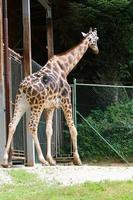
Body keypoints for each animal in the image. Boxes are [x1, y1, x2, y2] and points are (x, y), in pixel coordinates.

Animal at [2, 27, 98, 167]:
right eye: (97, 38)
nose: (97, 50)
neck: (65, 67)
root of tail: (23, 87)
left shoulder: (50, 107)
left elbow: (49, 131)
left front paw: (51, 159)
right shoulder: (66, 100)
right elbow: (73, 128)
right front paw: (77, 159)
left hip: (21, 102)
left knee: (12, 125)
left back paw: (5, 160)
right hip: (37, 104)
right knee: (32, 126)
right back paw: (41, 160)